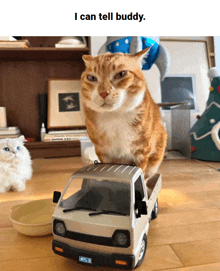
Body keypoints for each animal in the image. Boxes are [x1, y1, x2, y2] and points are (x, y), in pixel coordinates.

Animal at [81, 48, 167, 181]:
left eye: (121, 74)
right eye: (91, 77)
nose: (103, 93)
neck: (115, 117)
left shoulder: (141, 151)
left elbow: (140, 174)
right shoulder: (103, 152)